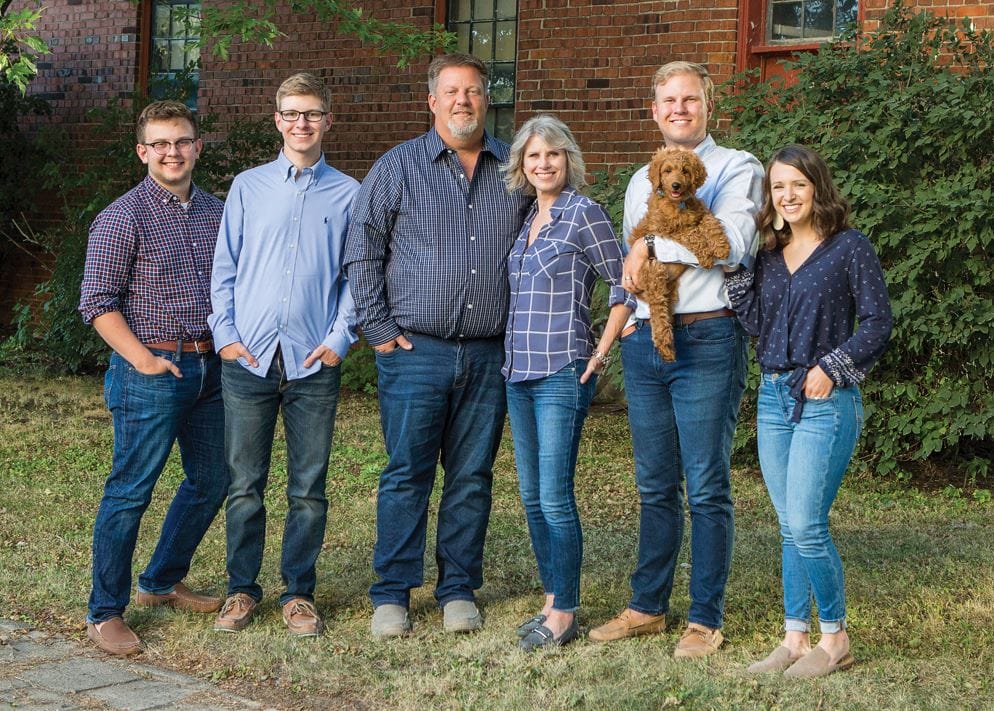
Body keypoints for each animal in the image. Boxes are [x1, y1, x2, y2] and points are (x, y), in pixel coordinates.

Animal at [628, 149, 728, 362]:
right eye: (667, 171)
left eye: (685, 171)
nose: (676, 185)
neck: (678, 203)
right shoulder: (667, 230)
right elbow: (691, 233)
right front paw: (706, 255)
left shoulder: (701, 211)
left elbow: (710, 222)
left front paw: (721, 246)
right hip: (654, 272)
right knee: (657, 315)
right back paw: (665, 346)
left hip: (668, 290)